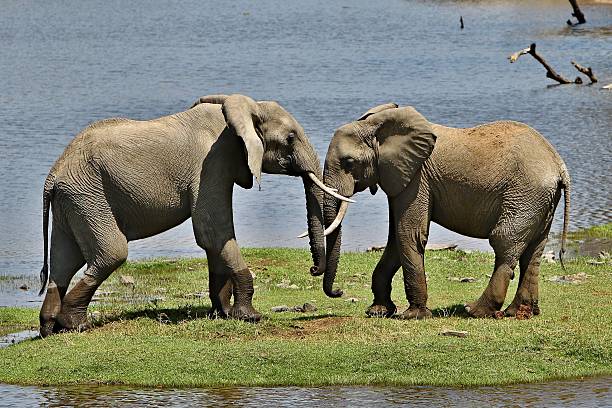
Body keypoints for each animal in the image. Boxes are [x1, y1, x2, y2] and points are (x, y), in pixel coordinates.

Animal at [38, 94, 352, 336]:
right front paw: (249, 317)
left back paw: (50, 328)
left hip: (74, 200)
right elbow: (212, 231)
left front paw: (223, 312)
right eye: (290, 138)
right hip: (89, 195)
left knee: (64, 260)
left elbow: (214, 239)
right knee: (111, 252)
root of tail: (53, 174)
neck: (240, 110)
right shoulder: (210, 164)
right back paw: (76, 325)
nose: (314, 270)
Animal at [318, 103, 572, 318]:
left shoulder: (417, 179)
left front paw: (413, 315)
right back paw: (518, 313)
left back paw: (475, 311)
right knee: (534, 250)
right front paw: (378, 312)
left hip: (525, 194)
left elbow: (408, 233)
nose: (339, 292)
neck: (378, 126)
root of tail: (559, 165)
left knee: (505, 242)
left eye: (349, 163)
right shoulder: (399, 177)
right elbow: (395, 238)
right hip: (540, 200)